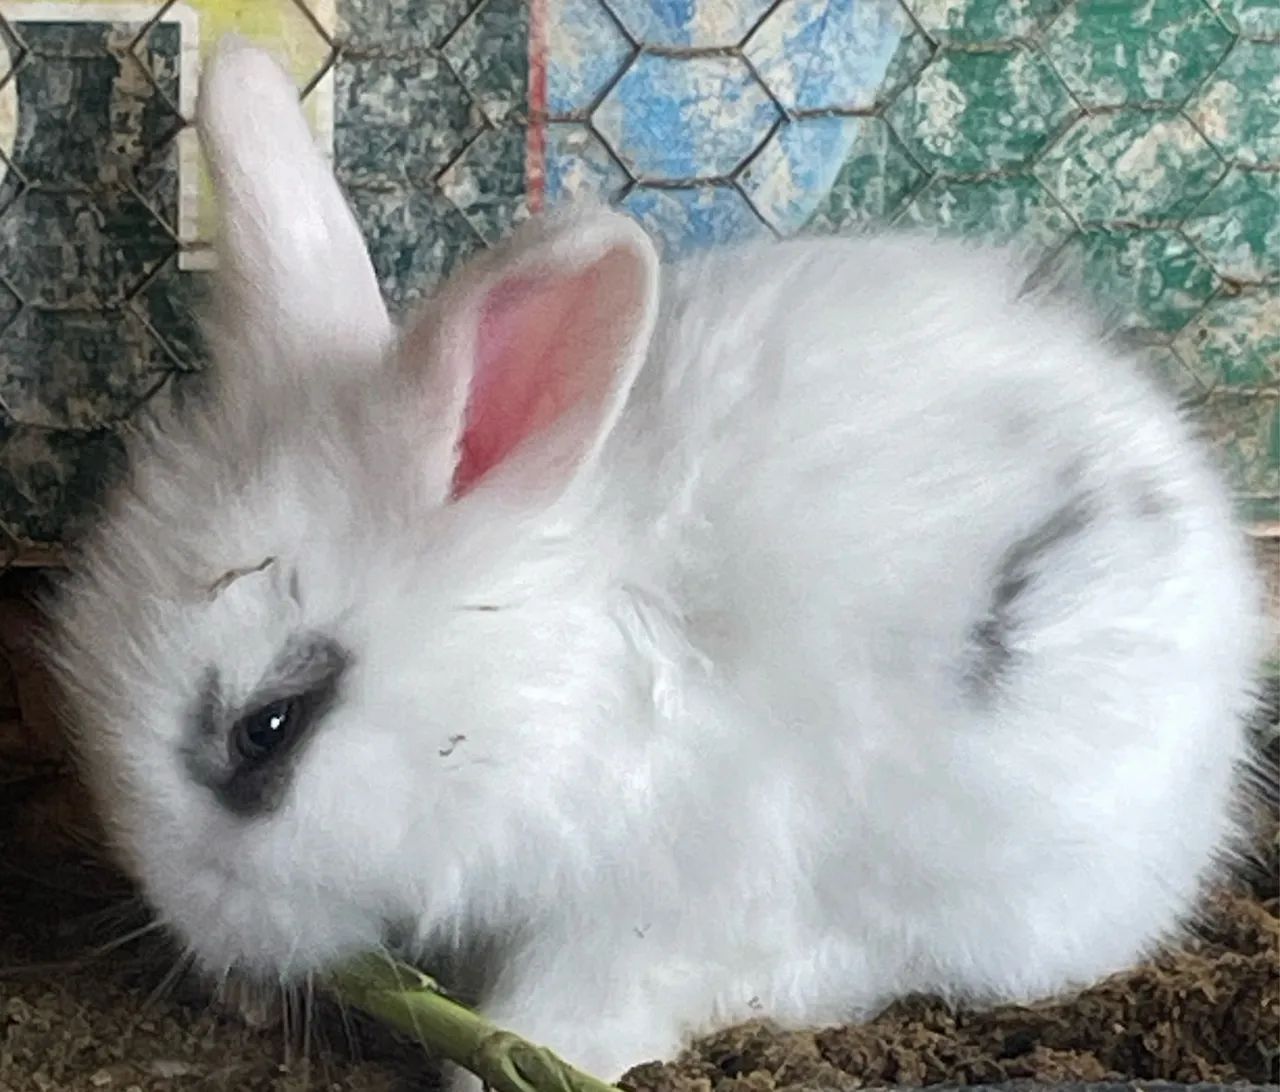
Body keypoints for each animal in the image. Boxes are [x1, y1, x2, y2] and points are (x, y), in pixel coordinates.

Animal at [46, 37, 1265, 1090]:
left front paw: (502, 1058)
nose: (189, 920)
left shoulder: (662, 908)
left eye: (269, 727)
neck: (559, 680)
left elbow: (591, 993)